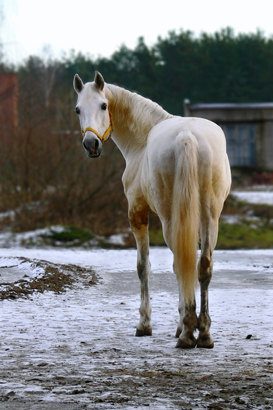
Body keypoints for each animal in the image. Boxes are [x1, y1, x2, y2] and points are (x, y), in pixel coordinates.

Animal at [72, 72, 230, 348]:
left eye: (103, 105)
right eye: (78, 109)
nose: (91, 144)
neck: (142, 140)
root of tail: (187, 136)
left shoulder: (137, 213)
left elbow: (143, 267)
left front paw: (145, 325)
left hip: (170, 218)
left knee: (181, 264)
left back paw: (187, 332)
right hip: (210, 216)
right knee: (202, 266)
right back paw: (203, 333)